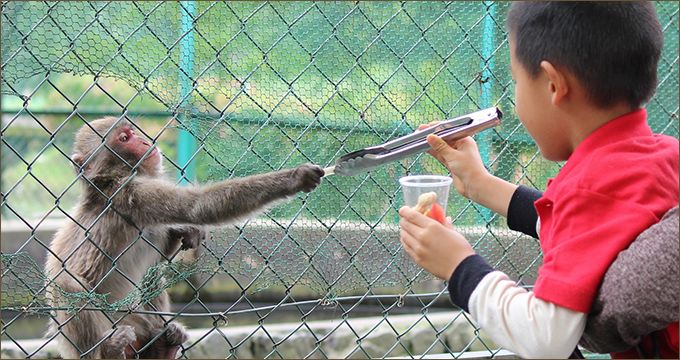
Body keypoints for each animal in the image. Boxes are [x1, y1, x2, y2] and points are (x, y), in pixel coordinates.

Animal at [43, 117, 326, 358]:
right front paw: (295, 178)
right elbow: (198, 206)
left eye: (133, 132)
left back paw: (161, 350)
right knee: (67, 285)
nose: (145, 141)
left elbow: (163, 253)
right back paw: (109, 353)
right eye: (124, 138)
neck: (112, 180)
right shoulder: (134, 194)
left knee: (152, 274)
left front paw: (185, 232)